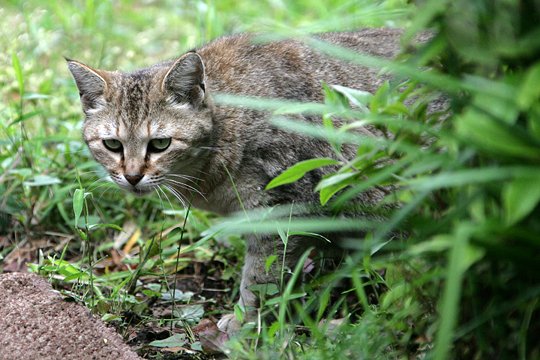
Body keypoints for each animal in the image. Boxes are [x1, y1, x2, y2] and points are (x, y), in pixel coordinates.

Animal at [67, 27, 402, 332]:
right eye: (113, 144)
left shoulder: (282, 207)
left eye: (160, 144)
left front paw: (247, 322)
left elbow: (261, 275)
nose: (133, 176)